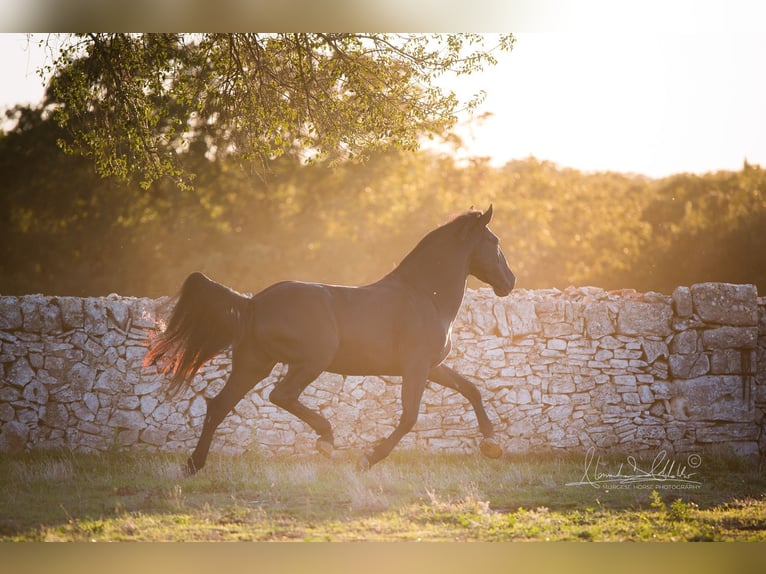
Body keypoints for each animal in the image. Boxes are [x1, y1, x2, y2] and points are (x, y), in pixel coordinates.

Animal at [144, 205, 515, 474]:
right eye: (494, 242)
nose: (510, 282)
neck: (425, 295)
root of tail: (253, 303)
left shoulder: (432, 366)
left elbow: (471, 389)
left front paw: (492, 444)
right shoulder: (416, 366)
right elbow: (409, 416)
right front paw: (368, 458)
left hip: (255, 363)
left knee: (219, 405)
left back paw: (194, 465)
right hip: (312, 360)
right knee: (281, 395)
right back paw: (326, 439)